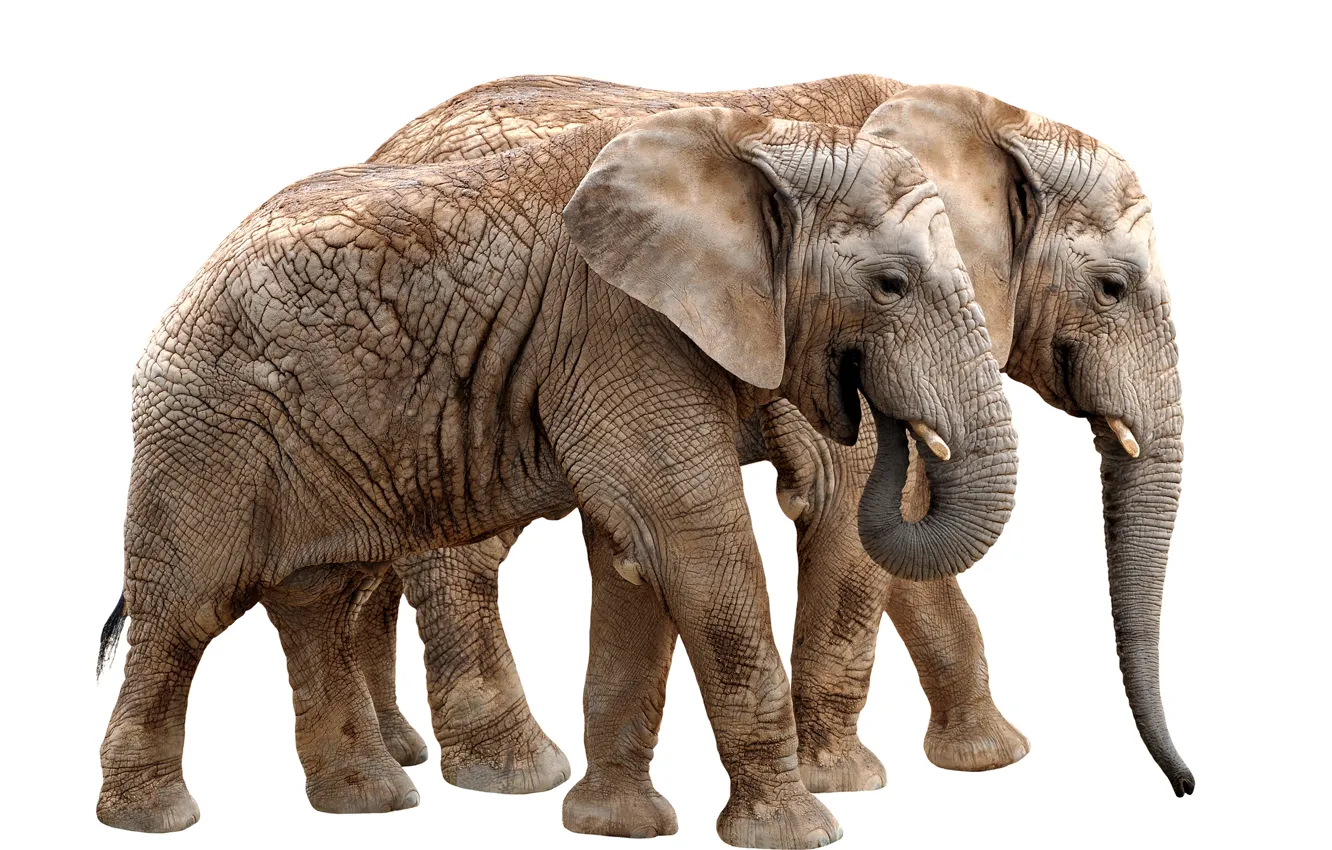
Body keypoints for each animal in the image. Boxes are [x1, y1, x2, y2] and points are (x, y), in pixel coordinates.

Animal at [95, 105, 1020, 848]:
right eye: (891, 284)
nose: (878, 412)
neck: (760, 147)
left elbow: (632, 560)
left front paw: (613, 827)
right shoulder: (623, 329)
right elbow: (692, 544)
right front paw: (798, 835)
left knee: (317, 597)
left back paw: (370, 802)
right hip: (205, 431)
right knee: (186, 613)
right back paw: (153, 820)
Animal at [281, 74, 1190, 832]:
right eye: (1113, 287)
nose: (1182, 788)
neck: (990, 120)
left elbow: (905, 541)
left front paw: (990, 760)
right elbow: (850, 509)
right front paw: (843, 783)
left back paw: (404, 755)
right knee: (455, 554)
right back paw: (511, 776)